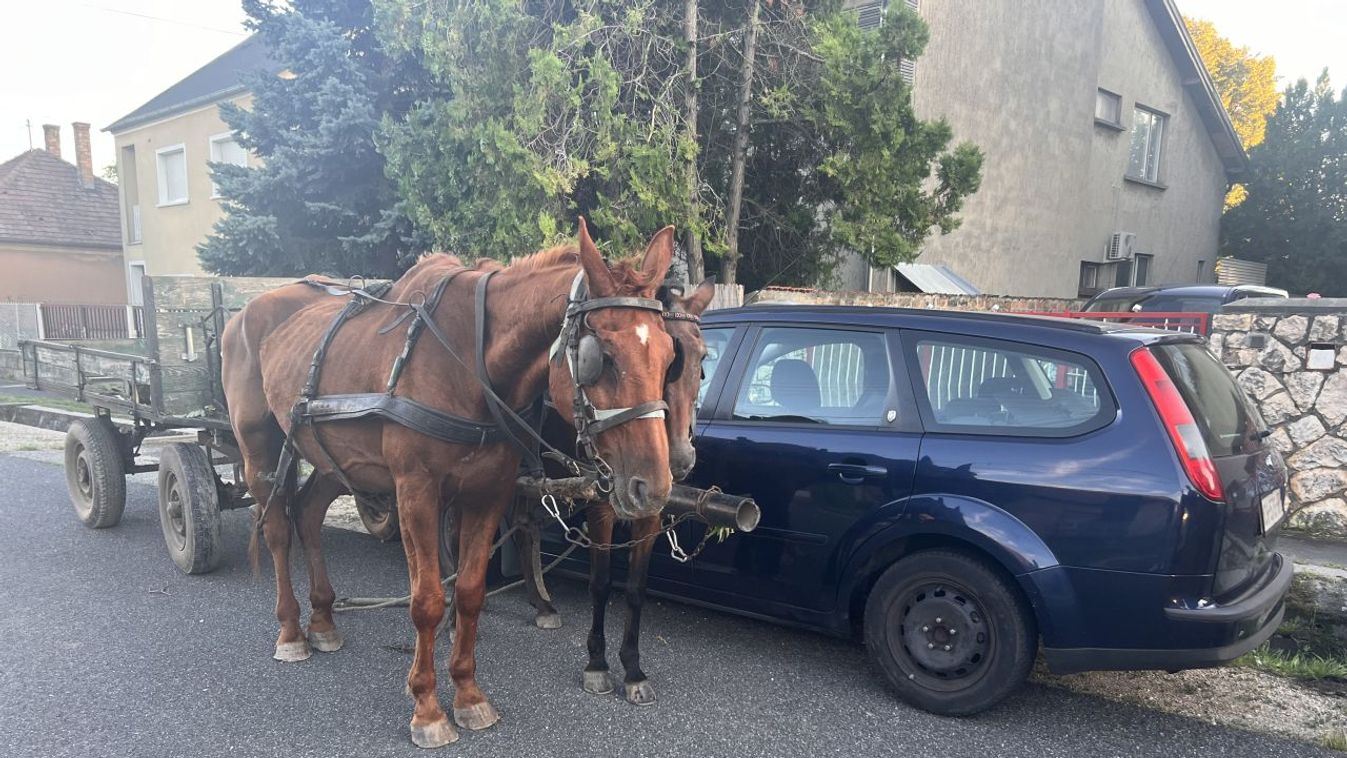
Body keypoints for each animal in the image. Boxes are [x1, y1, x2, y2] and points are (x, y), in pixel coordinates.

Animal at [227, 219, 684, 748]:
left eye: (670, 357)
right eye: (600, 357)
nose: (654, 487)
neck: (469, 361)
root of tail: (248, 309)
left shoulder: (488, 492)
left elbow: (468, 592)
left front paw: (468, 695)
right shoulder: (415, 492)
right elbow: (427, 599)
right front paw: (427, 709)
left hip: (329, 457)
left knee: (307, 513)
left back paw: (321, 620)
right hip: (258, 447)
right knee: (278, 529)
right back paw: (291, 631)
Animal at [517, 278, 721, 705]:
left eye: (701, 362)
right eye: (674, 363)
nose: (681, 459)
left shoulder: (650, 512)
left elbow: (635, 588)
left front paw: (633, 669)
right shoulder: (600, 506)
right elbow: (601, 583)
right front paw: (597, 663)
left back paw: (541, 604)